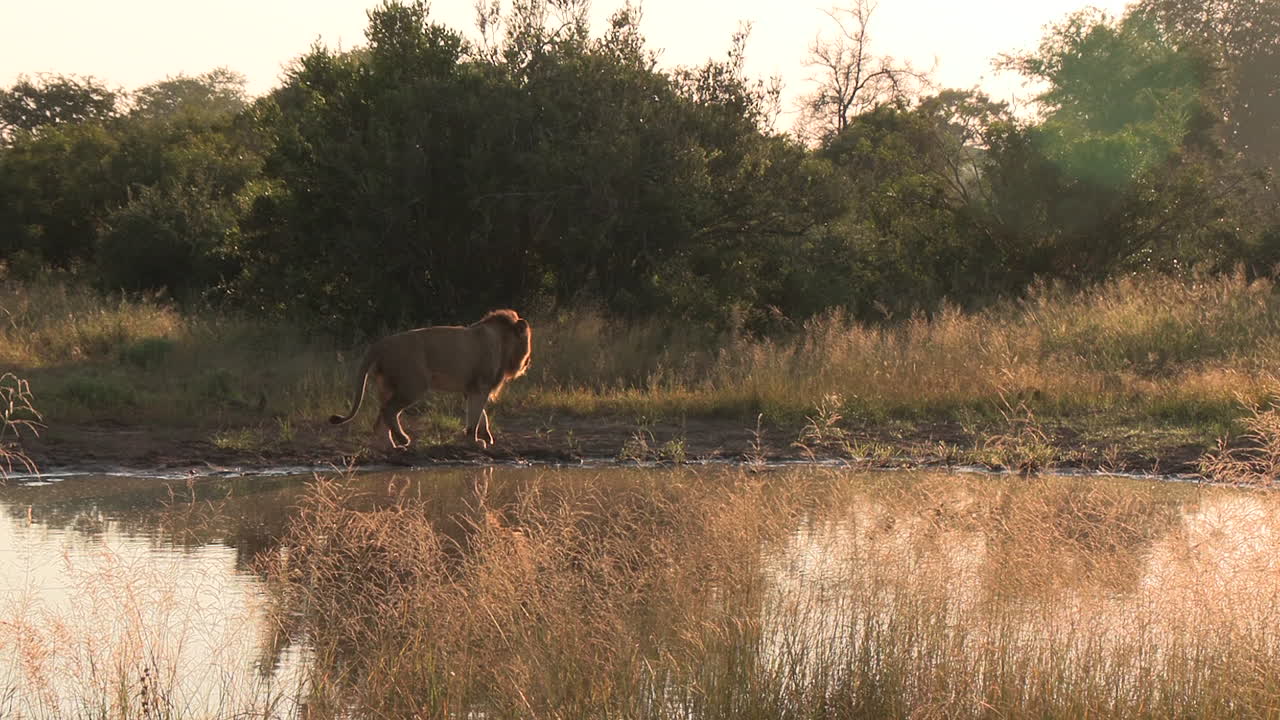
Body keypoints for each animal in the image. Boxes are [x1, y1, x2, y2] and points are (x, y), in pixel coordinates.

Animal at [329, 309, 532, 449]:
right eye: (527, 343)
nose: (528, 362)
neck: (502, 341)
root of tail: (379, 344)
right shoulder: (481, 386)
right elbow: (475, 416)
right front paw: (474, 441)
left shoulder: (471, 388)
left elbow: (480, 414)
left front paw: (485, 436)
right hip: (414, 385)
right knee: (388, 411)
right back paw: (402, 439)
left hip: (387, 386)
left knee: (380, 418)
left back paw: (389, 445)